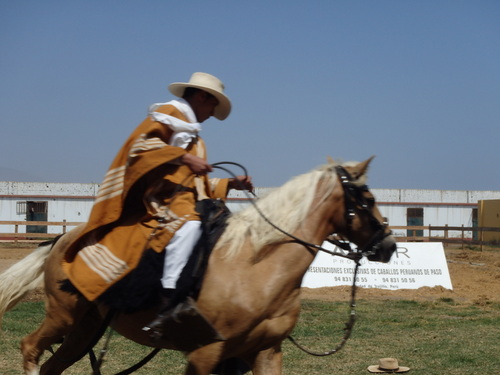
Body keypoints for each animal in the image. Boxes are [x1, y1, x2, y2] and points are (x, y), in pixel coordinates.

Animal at [0, 159, 398, 375]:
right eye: (367, 198)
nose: (389, 246)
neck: (254, 267)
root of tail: (61, 240)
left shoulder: (265, 351)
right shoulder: (206, 353)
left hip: (85, 329)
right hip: (63, 315)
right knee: (30, 347)